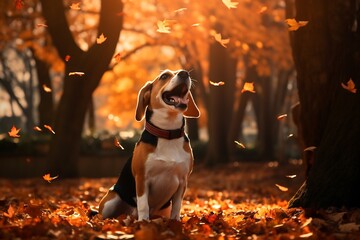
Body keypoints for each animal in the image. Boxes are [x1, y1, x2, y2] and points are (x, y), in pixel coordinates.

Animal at [98, 69, 200, 221]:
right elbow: (143, 204)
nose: (184, 73)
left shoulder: (183, 181)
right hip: (110, 202)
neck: (167, 133)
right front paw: (144, 222)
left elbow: (177, 206)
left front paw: (175, 222)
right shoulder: (142, 178)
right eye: (164, 76)